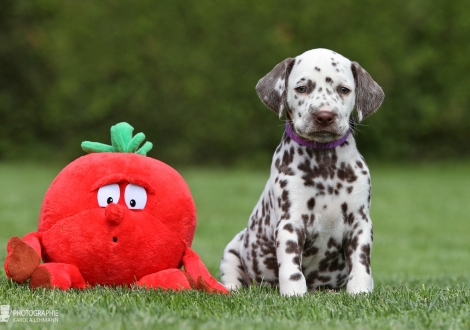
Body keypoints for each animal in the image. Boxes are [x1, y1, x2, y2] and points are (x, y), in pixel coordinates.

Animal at [218, 47, 384, 296]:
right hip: (233, 249)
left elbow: (361, 262)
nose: (324, 116)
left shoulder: (360, 221)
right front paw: (294, 293)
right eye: (302, 88)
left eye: (344, 90)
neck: (325, 163)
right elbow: (290, 265)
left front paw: (360, 290)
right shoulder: (290, 222)